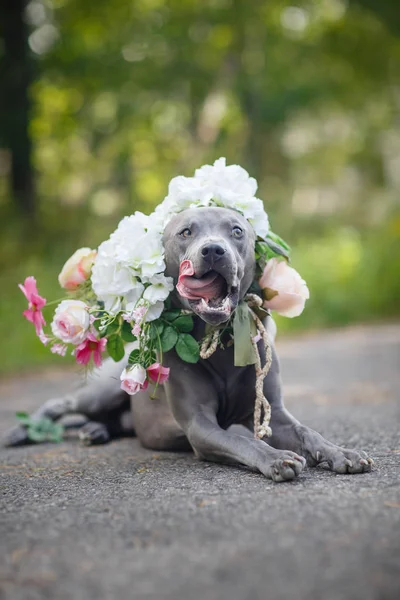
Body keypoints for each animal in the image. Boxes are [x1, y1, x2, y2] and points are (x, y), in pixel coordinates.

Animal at [4, 207, 374, 482]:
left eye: (236, 231)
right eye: (186, 232)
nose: (213, 250)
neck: (223, 341)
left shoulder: (276, 415)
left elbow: (309, 432)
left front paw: (343, 452)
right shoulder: (201, 425)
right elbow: (241, 439)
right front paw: (277, 458)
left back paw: (95, 431)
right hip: (104, 390)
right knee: (61, 403)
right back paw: (22, 432)